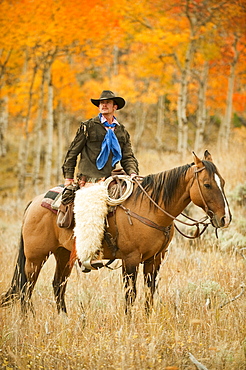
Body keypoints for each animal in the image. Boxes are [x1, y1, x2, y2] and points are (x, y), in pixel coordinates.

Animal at [0, 151, 232, 316]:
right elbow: (131, 294)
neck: (151, 208)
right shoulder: (131, 259)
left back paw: (63, 319)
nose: (224, 218)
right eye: (207, 184)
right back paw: (28, 320)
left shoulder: (155, 259)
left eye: (223, 182)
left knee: (58, 285)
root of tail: (34, 202)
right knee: (26, 288)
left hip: (63, 254)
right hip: (35, 257)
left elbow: (149, 293)